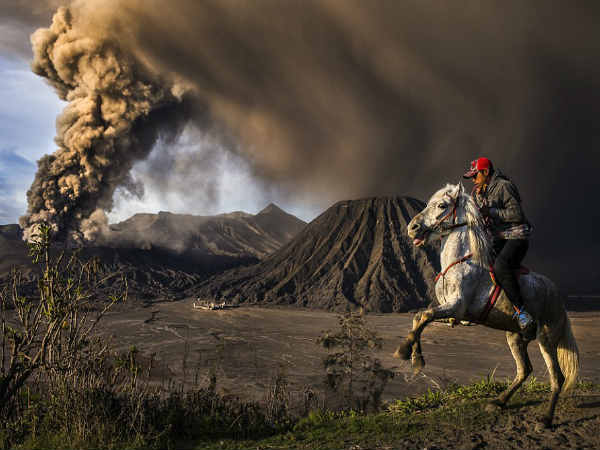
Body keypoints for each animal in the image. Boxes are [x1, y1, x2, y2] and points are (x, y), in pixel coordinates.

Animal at [396, 183, 580, 428]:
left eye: (442, 205)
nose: (412, 228)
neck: (462, 261)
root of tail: (558, 297)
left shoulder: (456, 307)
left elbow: (424, 316)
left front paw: (404, 351)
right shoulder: (452, 314)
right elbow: (419, 317)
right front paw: (416, 358)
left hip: (546, 338)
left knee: (557, 377)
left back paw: (546, 419)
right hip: (515, 337)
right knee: (524, 370)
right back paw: (498, 402)